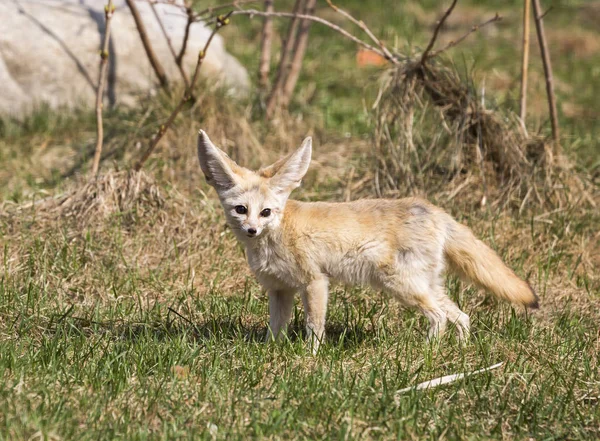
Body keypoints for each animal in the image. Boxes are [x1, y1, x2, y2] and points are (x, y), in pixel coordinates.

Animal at [197, 130, 540, 350]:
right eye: (241, 210)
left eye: (266, 212)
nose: (252, 230)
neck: (276, 237)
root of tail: (434, 210)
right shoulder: (280, 290)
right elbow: (275, 329)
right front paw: (269, 353)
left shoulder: (315, 282)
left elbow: (314, 328)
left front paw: (310, 359)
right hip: (426, 285)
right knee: (461, 316)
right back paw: (460, 349)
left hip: (402, 285)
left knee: (440, 316)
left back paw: (427, 353)